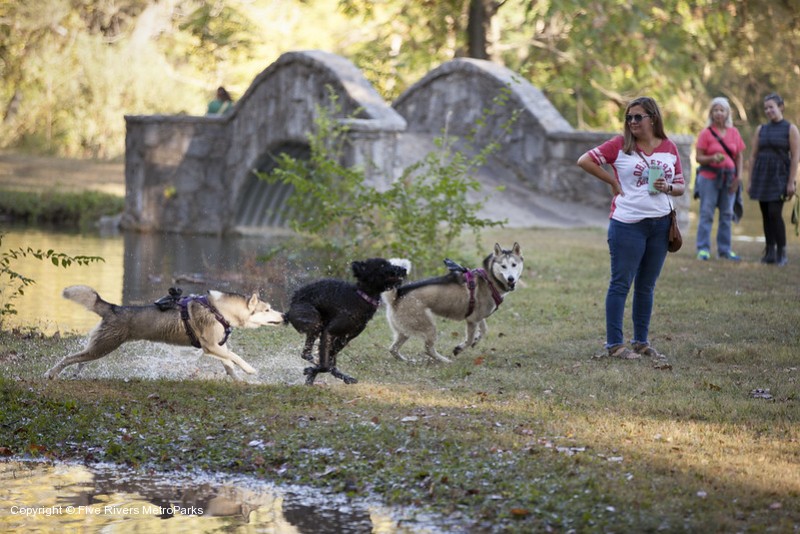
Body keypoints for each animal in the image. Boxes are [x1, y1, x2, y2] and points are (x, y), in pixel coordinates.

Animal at [44, 284, 284, 382]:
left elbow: (229, 364)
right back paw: (52, 374)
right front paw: (250, 370)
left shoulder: (218, 347)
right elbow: (236, 357)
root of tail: (113, 307)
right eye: (267, 310)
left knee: (80, 359)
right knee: (68, 358)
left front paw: (240, 380)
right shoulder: (210, 346)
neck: (219, 310)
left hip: (98, 347)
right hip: (104, 346)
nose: (284, 316)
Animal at [284, 258, 410, 388]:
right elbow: (325, 364)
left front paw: (311, 375)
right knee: (306, 354)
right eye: (382, 265)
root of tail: (290, 308)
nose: (404, 269)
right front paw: (312, 371)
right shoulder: (329, 332)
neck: (362, 296)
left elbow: (327, 362)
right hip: (313, 322)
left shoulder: (344, 339)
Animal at [382, 246, 524, 364]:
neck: (489, 280)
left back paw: (406, 360)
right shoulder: (472, 320)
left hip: (404, 331)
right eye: (503, 266)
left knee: (393, 349)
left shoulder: (478, 317)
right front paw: (459, 348)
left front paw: (476, 340)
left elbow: (483, 330)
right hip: (429, 328)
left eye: (514, 265)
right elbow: (469, 339)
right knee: (427, 349)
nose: (511, 279)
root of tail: (396, 296)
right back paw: (445, 360)